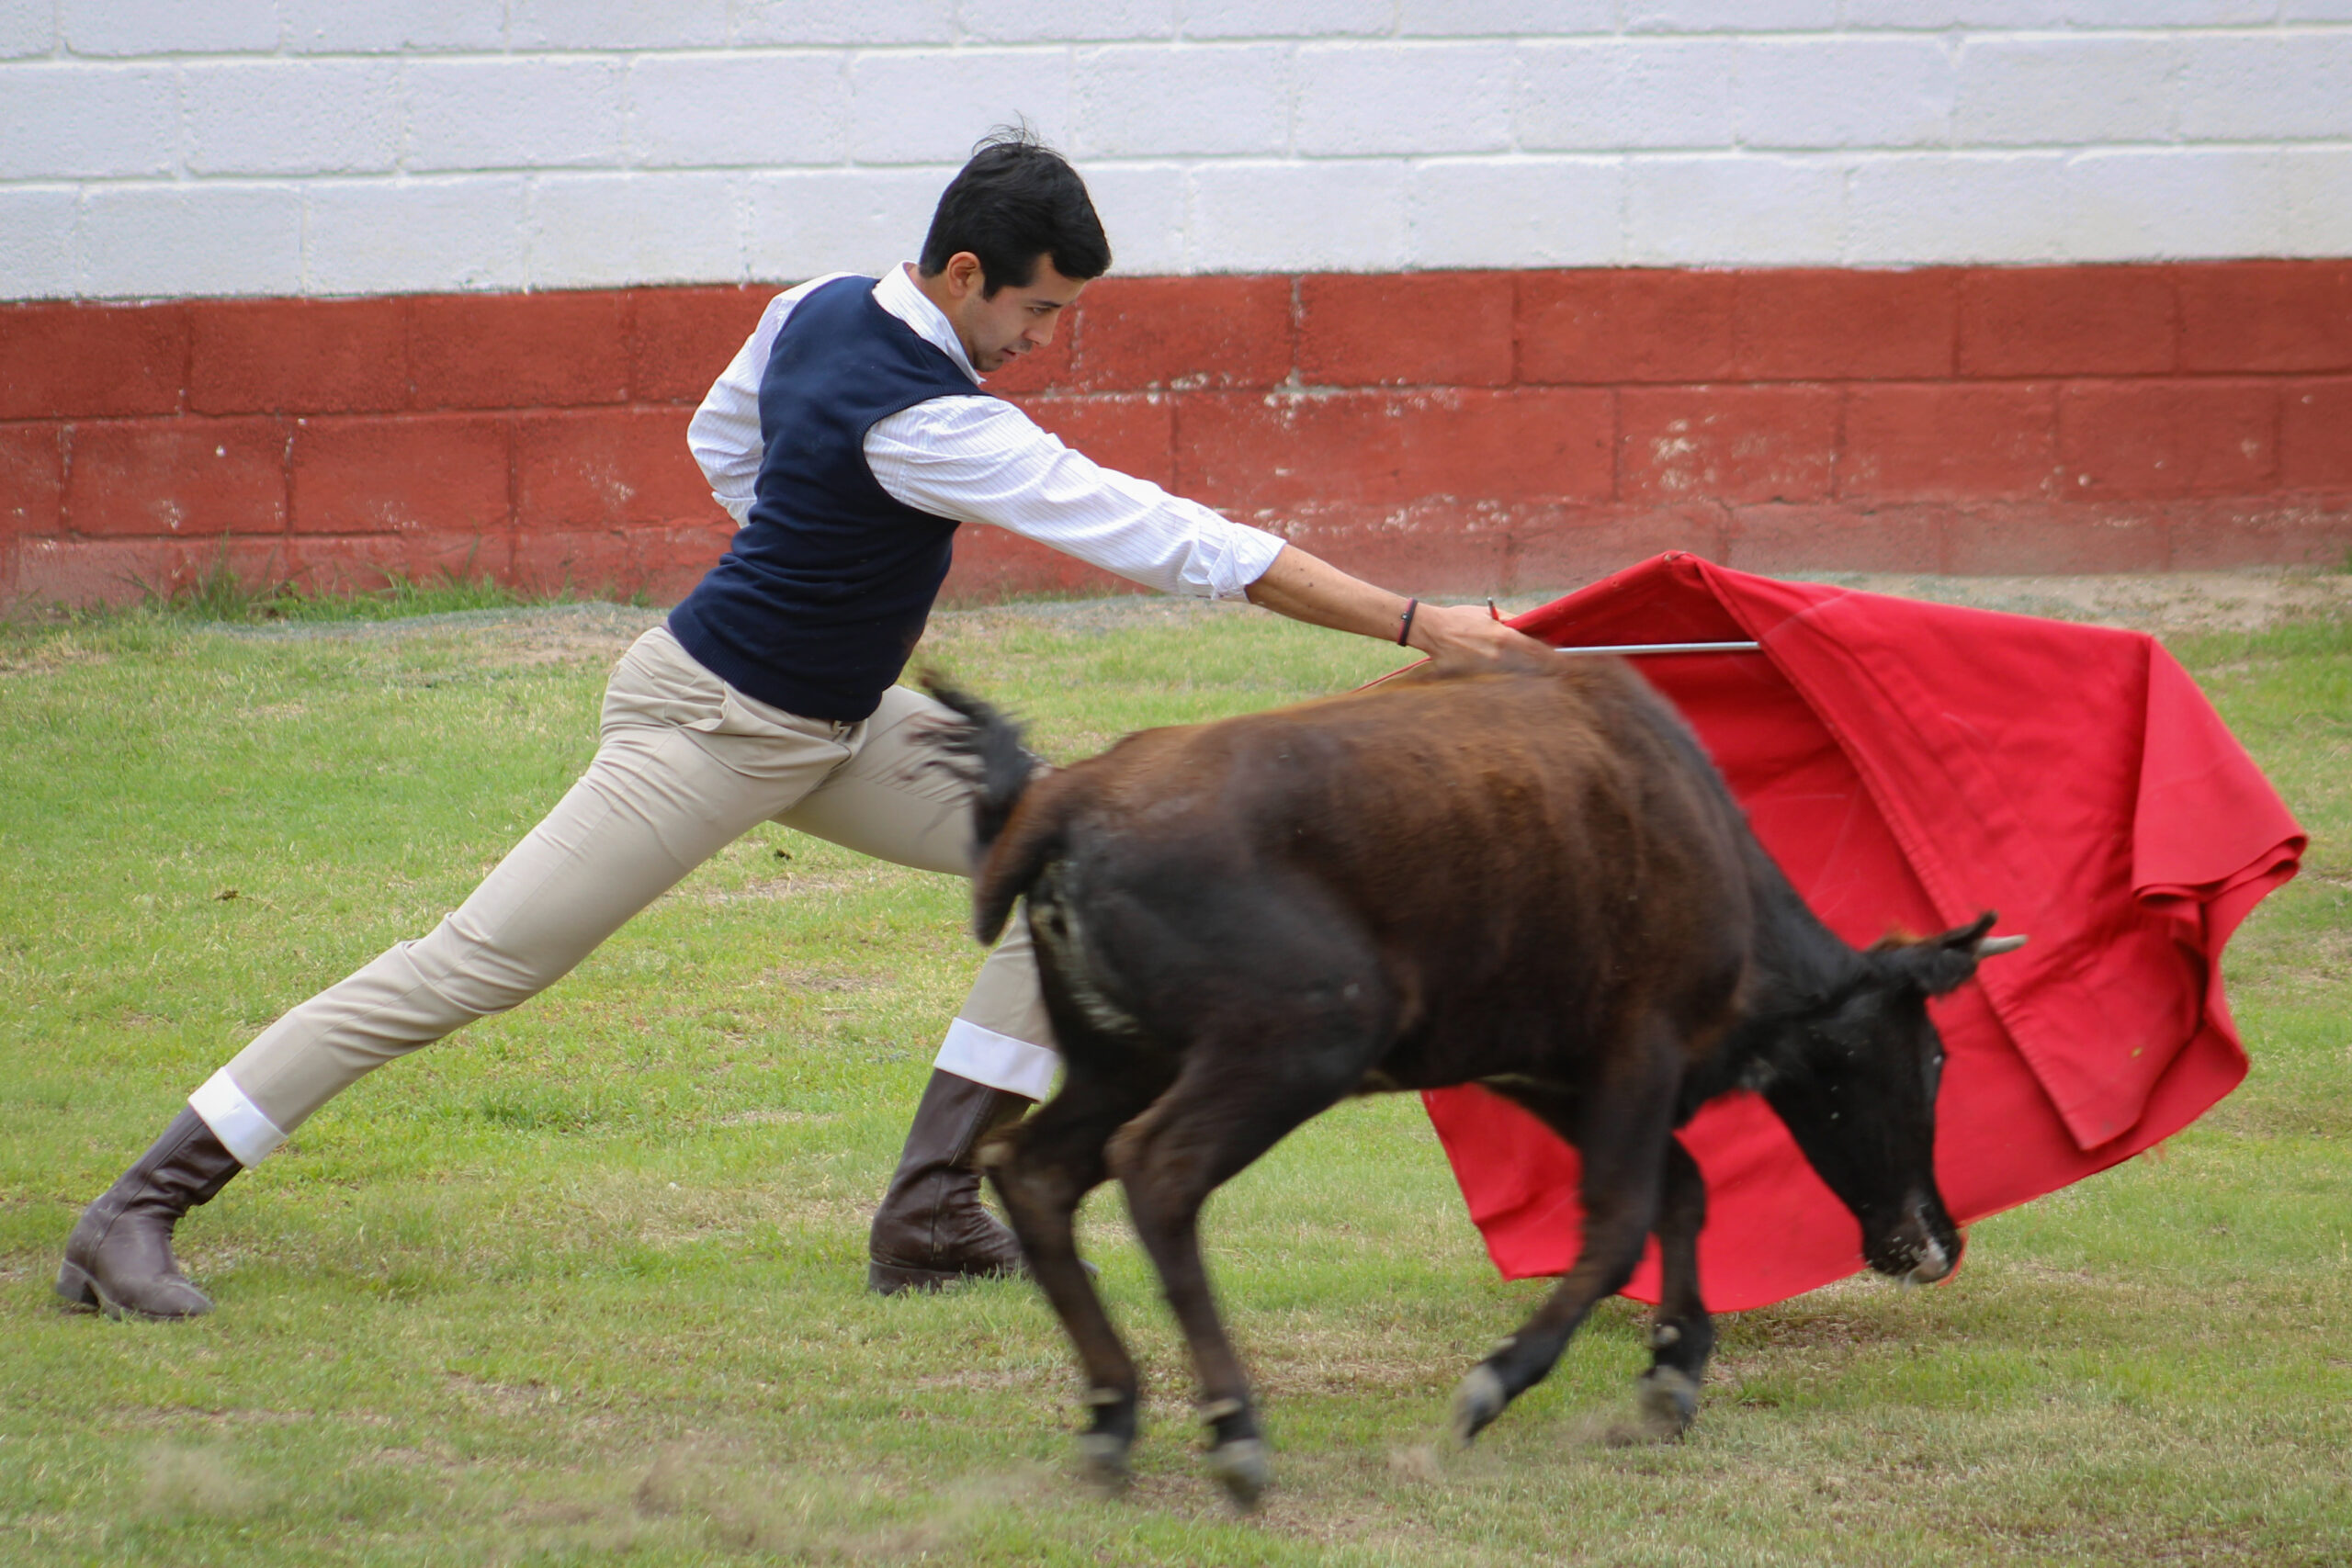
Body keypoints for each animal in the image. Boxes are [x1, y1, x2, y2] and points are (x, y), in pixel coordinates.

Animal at [926, 653, 2031, 1504]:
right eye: (1934, 1055)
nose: (1936, 1242)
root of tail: (1066, 798)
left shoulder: (1541, 1070)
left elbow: (1680, 1188)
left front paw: (1672, 1374)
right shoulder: (1639, 1046)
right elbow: (1622, 1218)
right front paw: (1497, 1383)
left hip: (1122, 1061)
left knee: (1034, 1170)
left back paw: (1112, 1418)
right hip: (1294, 1044)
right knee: (1157, 1172)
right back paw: (1235, 1429)